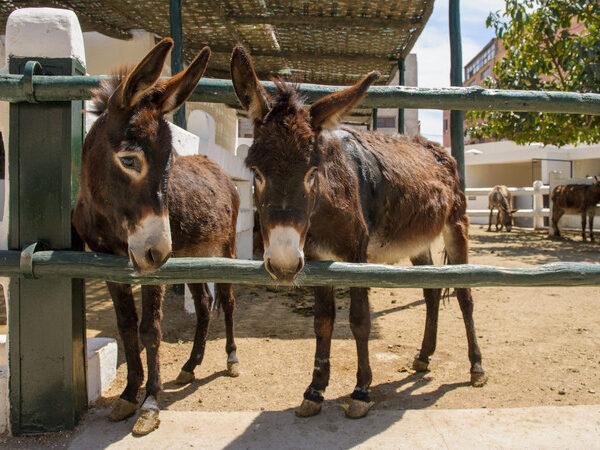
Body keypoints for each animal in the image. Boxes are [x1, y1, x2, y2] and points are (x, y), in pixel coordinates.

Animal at [75, 39, 241, 436]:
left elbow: (150, 330)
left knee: (226, 301)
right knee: (204, 304)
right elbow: (126, 329)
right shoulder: (108, 265)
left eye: (170, 161)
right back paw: (190, 366)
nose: (159, 252)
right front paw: (127, 396)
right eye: (129, 160)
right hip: (192, 257)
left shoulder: (154, 271)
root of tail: (218, 169)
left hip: (222, 251)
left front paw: (150, 404)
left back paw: (230, 359)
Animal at [230, 45, 488, 418]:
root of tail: (437, 149)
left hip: (456, 224)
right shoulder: (316, 258)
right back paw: (424, 356)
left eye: (312, 172)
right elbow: (323, 321)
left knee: (465, 294)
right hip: (417, 241)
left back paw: (476, 367)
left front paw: (361, 391)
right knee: (431, 292)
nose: (282, 265)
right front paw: (314, 390)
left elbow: (359, 320)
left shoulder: (355, 255)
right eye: (257, 173)